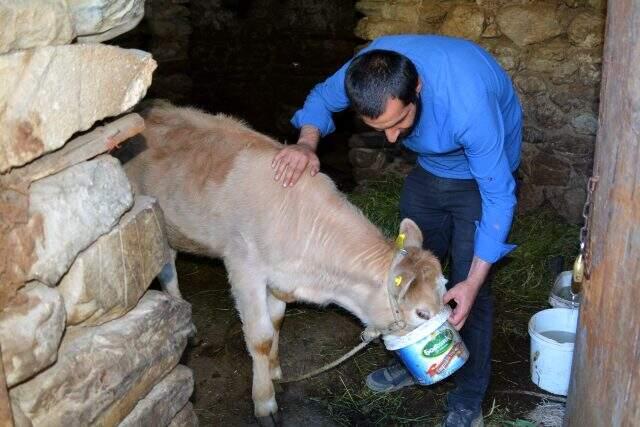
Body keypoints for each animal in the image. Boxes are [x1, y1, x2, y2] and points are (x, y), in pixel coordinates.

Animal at [119, 100, 444, 424]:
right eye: (422, 313)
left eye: (445, 296)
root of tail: (151, 107)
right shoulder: (244, 269)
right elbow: (260, 337)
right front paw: (264, 401)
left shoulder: (280, 278)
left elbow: (276, 322)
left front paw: (274, 371)